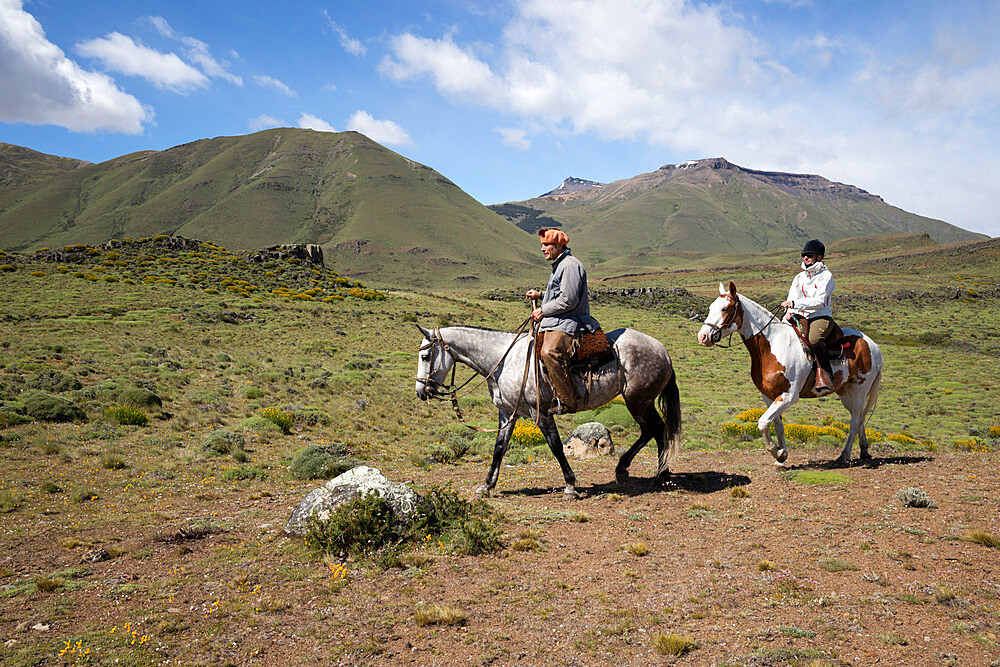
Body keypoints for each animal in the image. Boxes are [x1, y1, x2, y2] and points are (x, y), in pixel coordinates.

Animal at [412, 326, 680, 498]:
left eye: (425, 356)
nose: (420, 391)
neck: (503, 361)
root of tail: (663, 350)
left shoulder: (540, 413)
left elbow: (556, 446)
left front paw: (570, 486)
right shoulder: (508, 413)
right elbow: (499, 448)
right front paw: (486, 486)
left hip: (638, 401)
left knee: (656, 429)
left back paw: (656, 474)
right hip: (640, 401)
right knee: (653, 430)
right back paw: (643, 471)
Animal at [700, 284, 880, 468]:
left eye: (725, 308)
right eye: (710, 307)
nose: (703, 337)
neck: (772, 346)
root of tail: (873, 344)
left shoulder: (789, 395)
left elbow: (763, 422)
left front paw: (777, 452)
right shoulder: (769, 395)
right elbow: (777, 425)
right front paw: (781, 457)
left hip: (860, 390)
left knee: (855, 420)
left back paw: (844, 455)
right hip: (845, 391)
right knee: (859, 417)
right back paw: (864, 450)